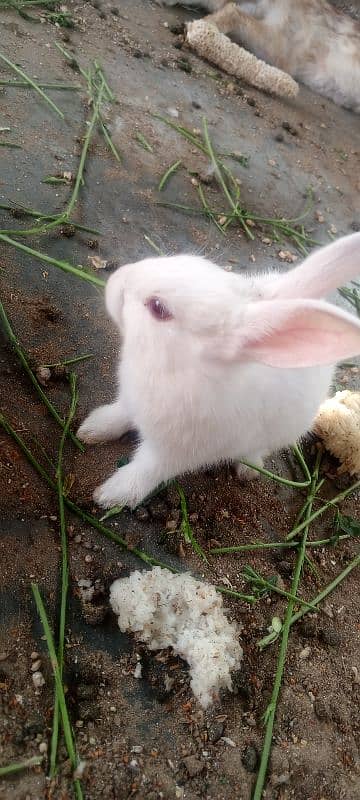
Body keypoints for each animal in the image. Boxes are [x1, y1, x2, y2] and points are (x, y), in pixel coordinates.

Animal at [77, 231, 360, 510]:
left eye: (158, 307)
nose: (118, 277)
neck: (175, 370)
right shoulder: (129, 403)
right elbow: (117, 416)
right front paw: (90, 430)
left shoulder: (172, 453)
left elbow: (144, 473)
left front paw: (108, 495)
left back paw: (249, 469)